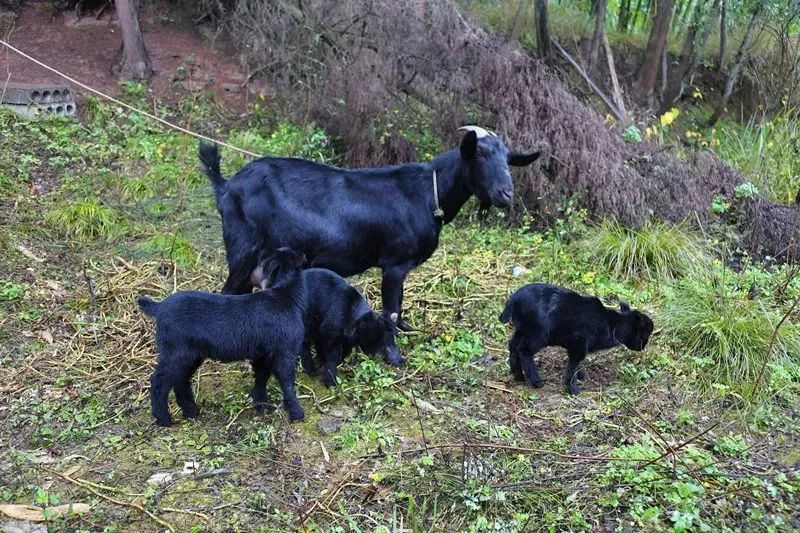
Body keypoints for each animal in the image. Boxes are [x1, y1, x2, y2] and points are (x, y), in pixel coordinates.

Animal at [200, 127, 540, 330]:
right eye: (479, 153)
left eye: (508, 159)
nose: (506, 194)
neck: (428, 192)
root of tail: (226, 185)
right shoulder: (394, 263)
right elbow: (391, 309)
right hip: (243, 250)